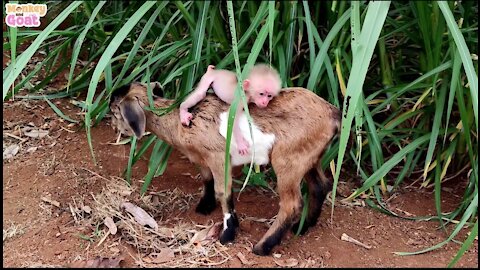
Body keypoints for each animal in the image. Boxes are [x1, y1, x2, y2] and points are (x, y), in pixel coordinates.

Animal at [109, 81, 342, 255]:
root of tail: (334, 114)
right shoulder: (203, 159)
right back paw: (303, 227)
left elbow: (224, 192)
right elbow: (207, 179)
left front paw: (227, 234)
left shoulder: (219, 157)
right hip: (310, 157)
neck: (181, 119)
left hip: (288, 160)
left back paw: (262, 247)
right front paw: (204, 206)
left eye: (114, 111)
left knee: (291, 204)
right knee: (320, 185)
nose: (113, 127)